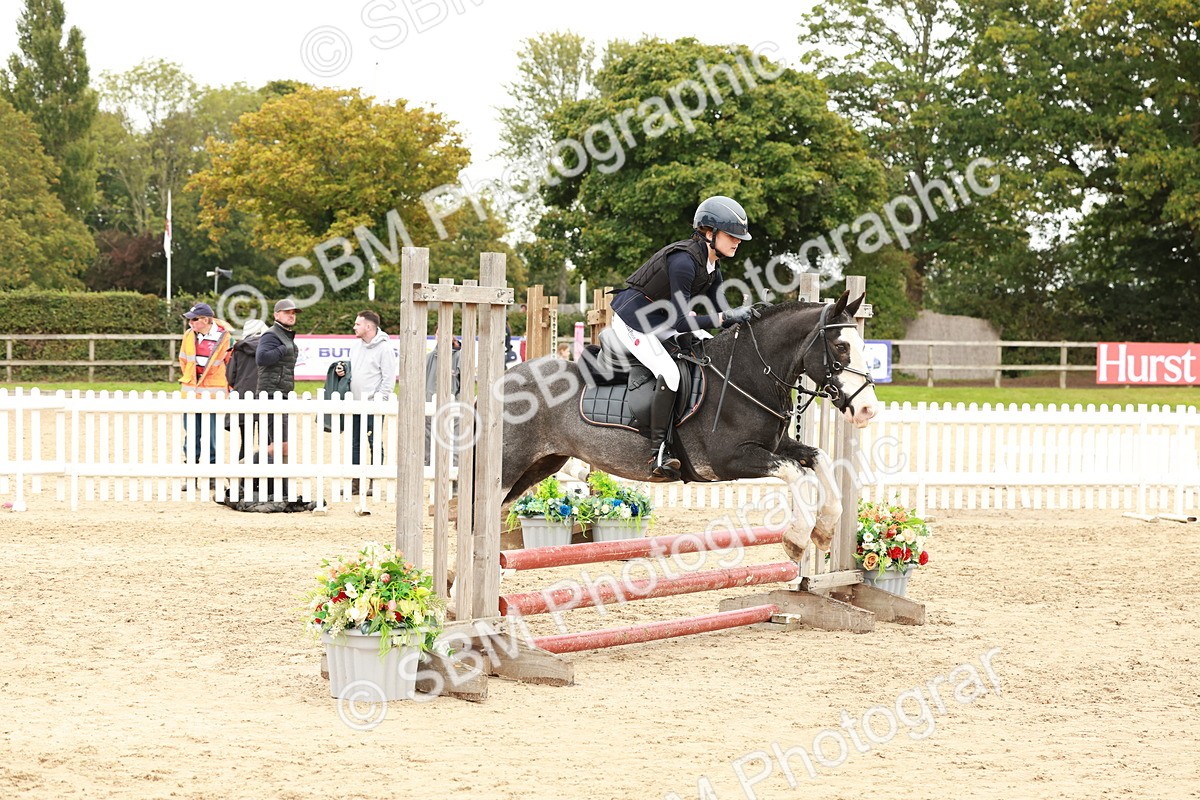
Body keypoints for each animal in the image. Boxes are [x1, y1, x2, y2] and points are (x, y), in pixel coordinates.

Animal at [498, 291, 880, 559]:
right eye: (840, 346)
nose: (867, 411)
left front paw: (825, 530)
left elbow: (818, 459)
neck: (746, 374)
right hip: (509, 467)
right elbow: (795, 473)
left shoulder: (775, 446)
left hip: (540, 465)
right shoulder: (731, 460)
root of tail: (504, 380)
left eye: (863, 346)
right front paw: (797, 539)